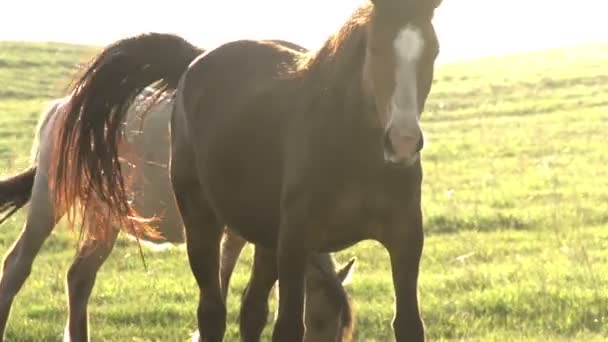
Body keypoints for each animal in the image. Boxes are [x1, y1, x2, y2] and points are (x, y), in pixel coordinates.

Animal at [0, 87, 356, 340]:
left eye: (343, 326)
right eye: (318, 320)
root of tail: (63, 107)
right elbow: (222, 285)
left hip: (106, 215)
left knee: (79, 277)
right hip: (49, 200)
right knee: (17, 265)